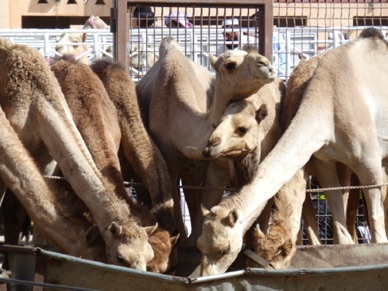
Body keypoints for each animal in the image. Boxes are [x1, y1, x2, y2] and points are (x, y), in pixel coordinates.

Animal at [136, 36, 276, 242]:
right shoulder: (167, 158)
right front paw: (182, 237)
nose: (266, 64)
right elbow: (175, 198)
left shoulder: (199, 161)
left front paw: (193, 237)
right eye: (229, 65)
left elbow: (194, 197)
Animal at [196, 27, 388, 276]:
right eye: (200, 246)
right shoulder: (324, 161)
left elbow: (377, 230)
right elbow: (340, 232)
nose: (204, 277)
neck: (326, 106)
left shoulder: (369, 162)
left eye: (225, 249)